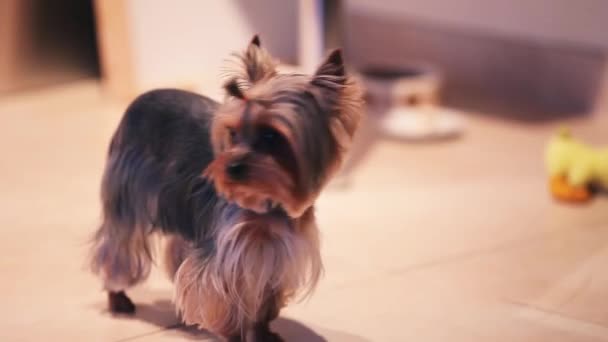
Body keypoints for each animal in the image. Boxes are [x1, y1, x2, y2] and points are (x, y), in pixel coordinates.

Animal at [89, 36, 360, 340]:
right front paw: (233, 333)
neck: (267, 200)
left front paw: (264, 331)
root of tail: (138, 100)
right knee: (118, 244)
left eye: (271, 136)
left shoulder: (276, 253)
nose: (230, 168)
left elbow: (265, 299)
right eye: (233, 133)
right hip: (127, 190)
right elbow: (219, 296)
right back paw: (118, 297)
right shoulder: (229, 252)